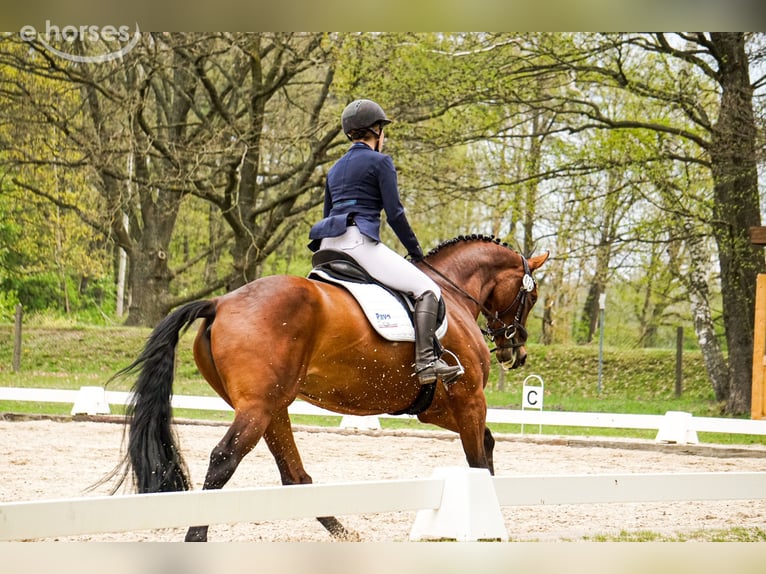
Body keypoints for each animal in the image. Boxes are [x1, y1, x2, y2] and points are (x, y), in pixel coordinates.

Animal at [109, 234, 548, 541]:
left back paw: (344, 531)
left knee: (294, 475)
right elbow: (477, 459)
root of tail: (219, 302)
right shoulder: (468, 399)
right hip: (258, 408)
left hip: (272, 407)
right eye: (531, 297)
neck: (454, 296)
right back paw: (197, 535)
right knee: (224, 459)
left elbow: (485, 446)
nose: (517, 351)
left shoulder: (436, 407)